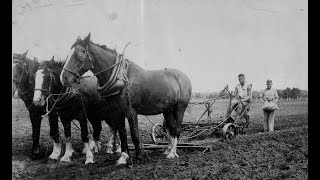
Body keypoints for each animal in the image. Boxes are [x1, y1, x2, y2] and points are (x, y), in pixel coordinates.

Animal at [59, 33, 191, 165]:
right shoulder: (117, 112)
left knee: (177, 129)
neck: (122, 78)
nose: (63, 78)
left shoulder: (131, 111)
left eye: (78, 55)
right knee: (171, 128)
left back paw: (172, 153)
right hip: (167, 110)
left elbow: (134, 135)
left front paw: (139, 157)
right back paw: (168, 150)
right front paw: (123, 157)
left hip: (180, 108)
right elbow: (122, 133)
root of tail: (183, 77)